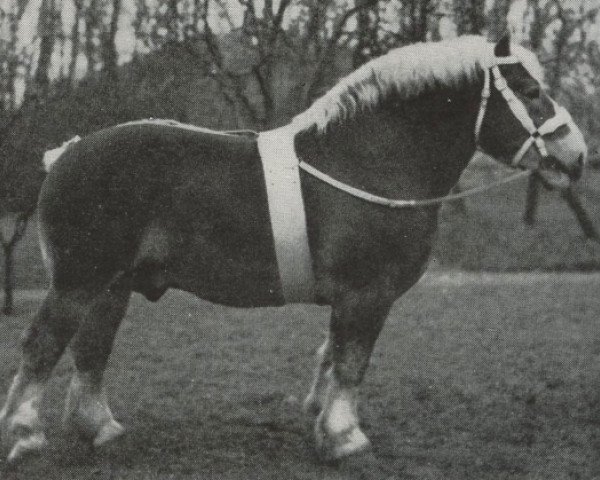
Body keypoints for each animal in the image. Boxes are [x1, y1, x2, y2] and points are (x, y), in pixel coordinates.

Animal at [0, 34, 584, 464]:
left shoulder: (350, 299)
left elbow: (331, 356)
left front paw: (323, 423)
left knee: (90, 351)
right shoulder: (367, 295)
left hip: (111, 287)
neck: (369, 160)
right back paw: (26, 434)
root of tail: (66, 154)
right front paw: (345, 438)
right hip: (78, 283)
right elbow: (351, 361)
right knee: (42, 344)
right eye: (530, 90)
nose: (575, 155)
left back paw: (100, 429)